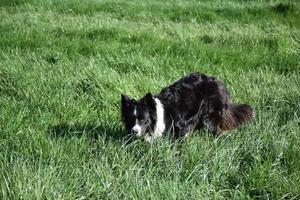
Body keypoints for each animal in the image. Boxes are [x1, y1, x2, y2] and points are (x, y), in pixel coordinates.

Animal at [120, 72, 254, 142]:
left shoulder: (179, 126)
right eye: (131, 119)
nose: (134, 131)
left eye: (143, 119)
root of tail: (218, 82)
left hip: (210, 115)